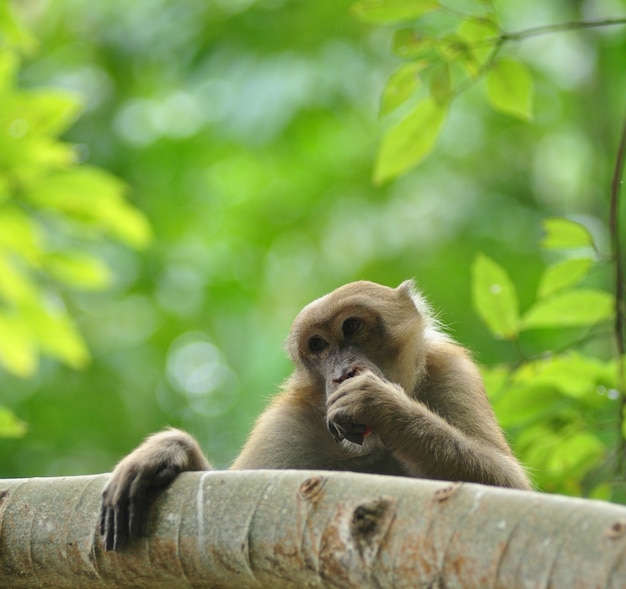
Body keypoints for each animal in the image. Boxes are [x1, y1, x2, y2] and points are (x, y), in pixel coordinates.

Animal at [100, 278, 528, 548]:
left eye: (352, 327)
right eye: (318, 345)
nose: (340, 374)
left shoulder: (451, 371)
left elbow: (509, 491)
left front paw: (381, 403)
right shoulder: (288, 422)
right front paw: (173, 451)